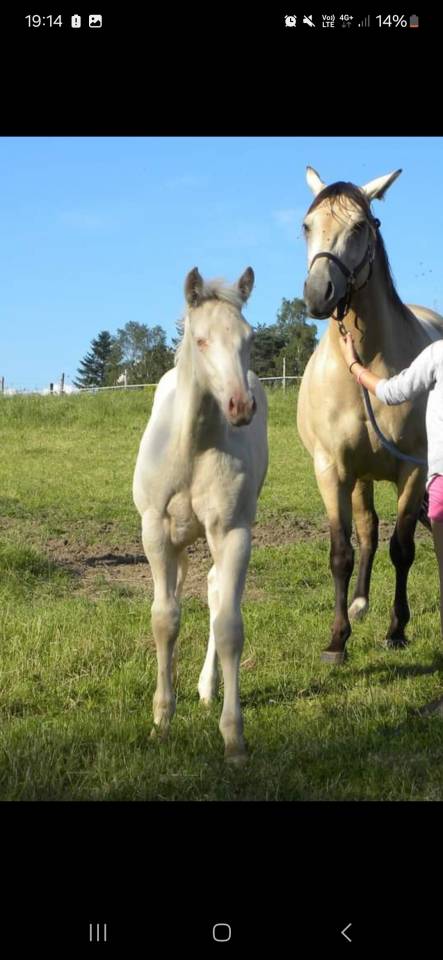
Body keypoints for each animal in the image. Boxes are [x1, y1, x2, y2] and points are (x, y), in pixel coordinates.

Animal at [133, 267, 268, 762]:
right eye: (201, 339)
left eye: (249, 338)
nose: (240, 406)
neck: (193, 446)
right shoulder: (154, 530)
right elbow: (165, 619)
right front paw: (161, 721)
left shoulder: (232, 531)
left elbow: (229, 625)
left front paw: (234, 738)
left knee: (213, 591)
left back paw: (208, 689)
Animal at [297, 167, 443, 664]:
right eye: (307, 225)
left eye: (361, 225)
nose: (318, 293)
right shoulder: (331, 470)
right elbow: (342, 551)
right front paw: (337, 639)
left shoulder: (412, 471)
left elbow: (403, 549)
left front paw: (397, 629)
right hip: (359, 477)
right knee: (367, 531)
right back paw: (359, 603)